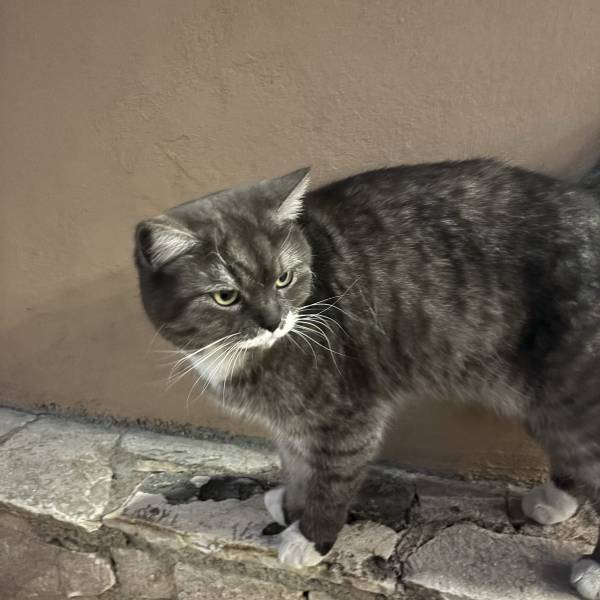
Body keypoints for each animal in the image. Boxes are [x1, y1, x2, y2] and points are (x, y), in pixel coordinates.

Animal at [134, 159, 600, 599]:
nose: (272, 321)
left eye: (283, 278)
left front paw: (310, 538)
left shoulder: (347, 418)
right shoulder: (292, 422)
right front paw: (291, 506)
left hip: (574, 395)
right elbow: (297, 464)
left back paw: (592, 570)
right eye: (225, 296)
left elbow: (332, 479)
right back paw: (555, 500)